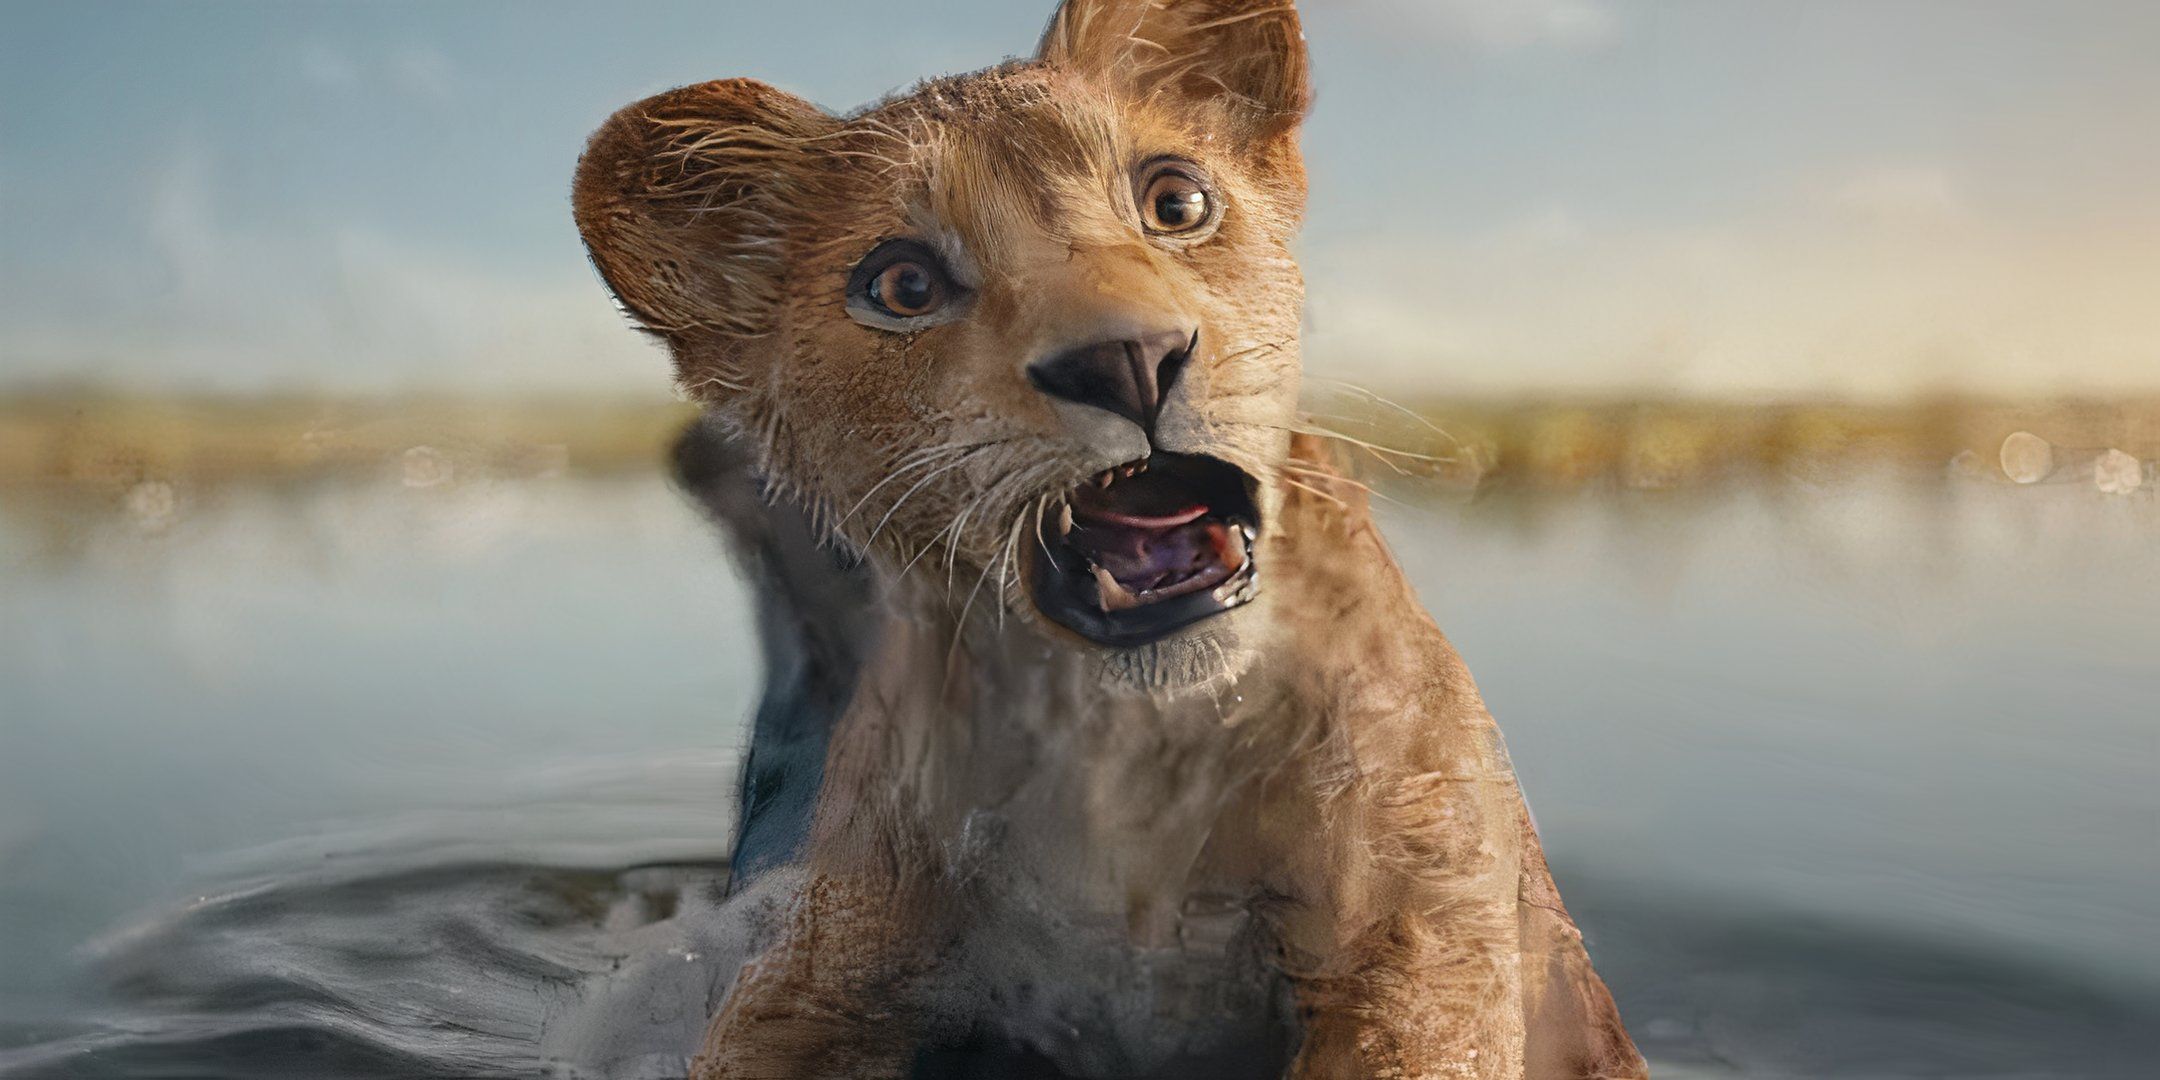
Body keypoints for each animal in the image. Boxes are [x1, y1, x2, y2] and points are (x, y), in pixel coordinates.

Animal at [573, 1, 1645, 1076]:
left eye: (1175, 200)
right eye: (902, 285)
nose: (1128, 358)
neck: (1132, 750)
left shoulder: (1418, 939)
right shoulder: (830, 960)